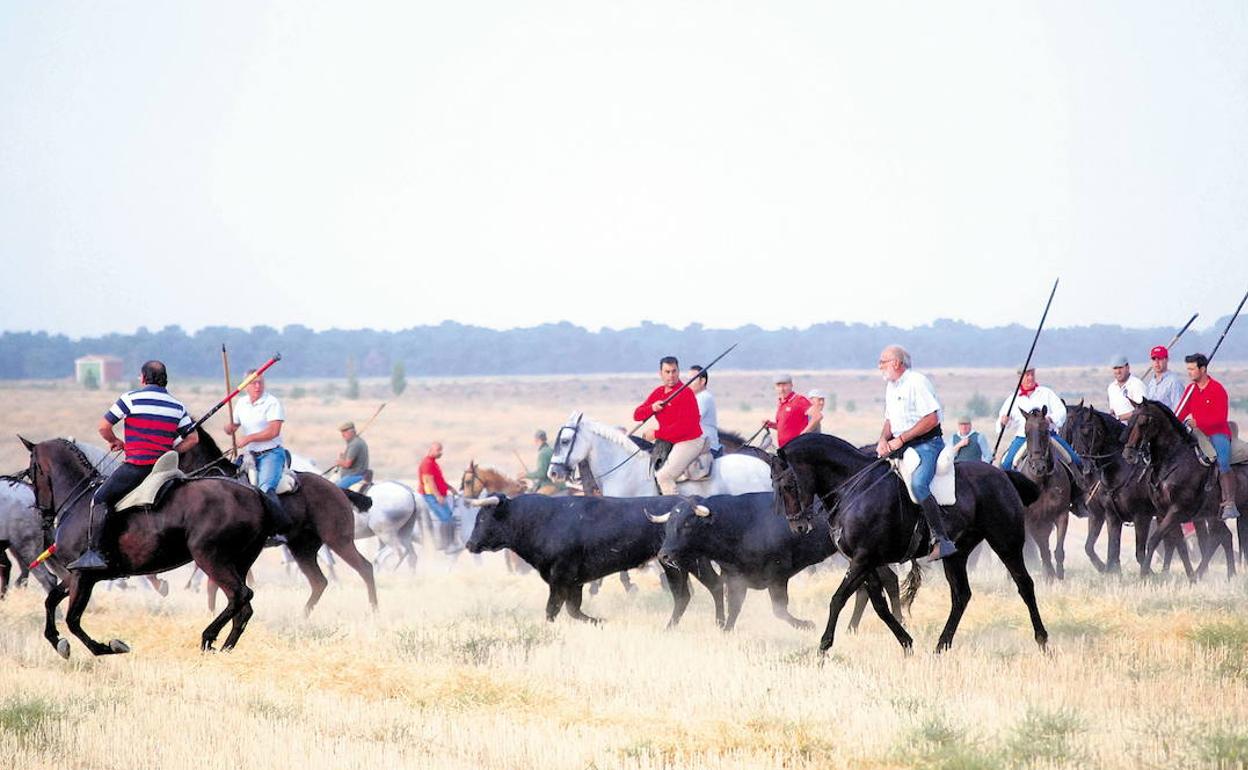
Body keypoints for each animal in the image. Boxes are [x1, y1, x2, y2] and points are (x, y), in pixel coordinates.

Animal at [17, 439, 268, 653]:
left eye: (31, 471)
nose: (42, 514)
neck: (78, 499)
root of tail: (254, 495)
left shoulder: (82, 575)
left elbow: (73, 620)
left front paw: (107, 647)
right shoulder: (77, 574)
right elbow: (51, 600)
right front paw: (56, 640)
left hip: (210, 558)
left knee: (239, 594)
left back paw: (208, 637)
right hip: (239, 562)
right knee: (244, 607)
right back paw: (226, 648)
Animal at [768, 431, 1043, 653]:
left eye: (789, 484)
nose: (798, 526)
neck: (855, 489)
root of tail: (1002, 475)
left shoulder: (862, 559)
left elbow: (838, 599)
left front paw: (823, 647)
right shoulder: (865, 562)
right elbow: (879, 605)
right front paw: (907, 642)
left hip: (1006, 543)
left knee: (1024, 584)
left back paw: (1042, 640)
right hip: (956, 554)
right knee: (961, 595)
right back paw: (941, 646)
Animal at [1123, 399, 1238, 574]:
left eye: (1143, 423)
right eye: (1130, 421)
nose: (1128, 455)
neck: (1174, 460)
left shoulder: (1177, 510)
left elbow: (1155, 539)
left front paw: (1145, 573)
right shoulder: (1165, 512)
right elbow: (1179, 544)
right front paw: (1188, 575)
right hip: (1213, 515)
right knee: (1224, 537)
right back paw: (1224, 575)